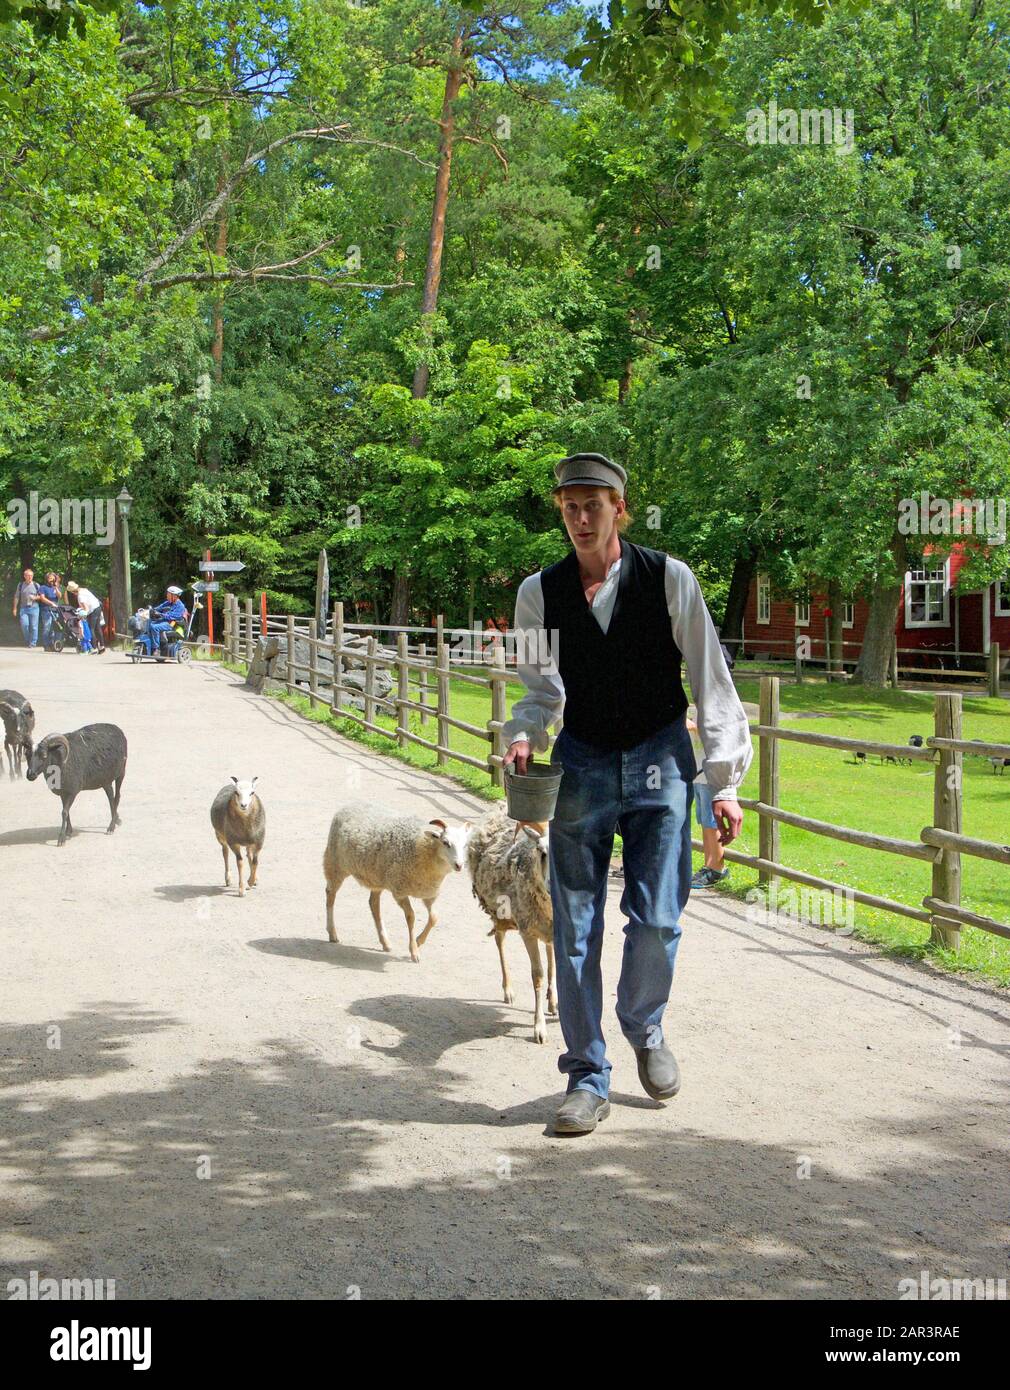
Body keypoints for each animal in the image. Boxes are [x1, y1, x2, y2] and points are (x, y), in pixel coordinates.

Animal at [323, 800, 475, 961]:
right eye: (445, 842)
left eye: (465, 845)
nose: (459, 865)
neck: (423, 849)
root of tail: (351, 804)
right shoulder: (400, 891)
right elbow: (411, 917)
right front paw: (414, 951)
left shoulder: (428, 893)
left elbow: (434, 918)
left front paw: (419, 941)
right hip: (335, 864)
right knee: (330, 895)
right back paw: (332, 933)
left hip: (376, 876)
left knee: (373, 904)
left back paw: (385, 942)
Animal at [469, 806, 555, 1045]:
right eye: (541, 851)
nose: (550, 885)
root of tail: (499, 808)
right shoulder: (528, 931)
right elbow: (538, 975)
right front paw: (539, 1028)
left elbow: (554, 967)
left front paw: (554, 1005)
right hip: (499, 914)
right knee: (499, 941)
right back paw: (508, 990)